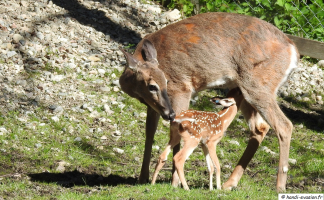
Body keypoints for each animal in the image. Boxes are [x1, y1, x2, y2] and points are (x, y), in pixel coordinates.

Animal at [120, 12, 300, 192]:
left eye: (166, 80)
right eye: (152, 86)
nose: (169, 114)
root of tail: (293, 49)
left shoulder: (181, 88)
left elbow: (175, 131)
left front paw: (174, 182)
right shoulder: (154, 106)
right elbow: (149, 133)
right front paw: (143, 177)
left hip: (257, 85)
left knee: (284, 125)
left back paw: (280, 186)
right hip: (245, 90)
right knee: (260, 127)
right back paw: (229, 183)